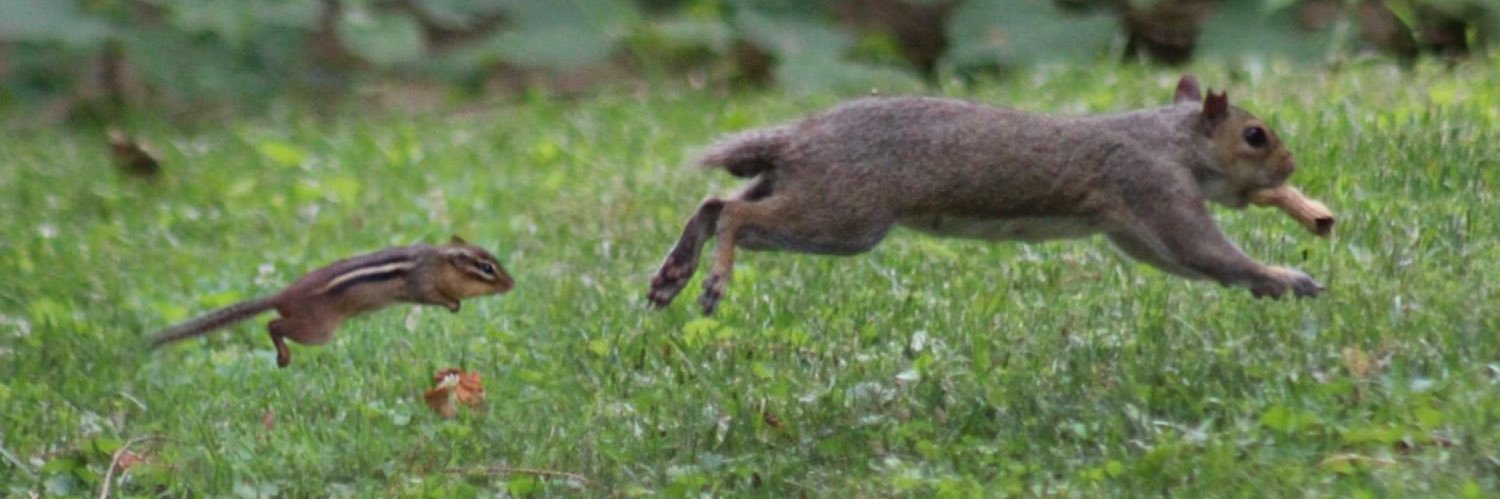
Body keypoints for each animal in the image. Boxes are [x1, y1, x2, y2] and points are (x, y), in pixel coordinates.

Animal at [149, 236, 513, 367]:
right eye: (487, 269)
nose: (512, 284)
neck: (436, 261)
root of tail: (281, 294)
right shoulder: (420, 285)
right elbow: (433, 298)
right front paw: (454, 305)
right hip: (317, 330)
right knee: (273, 323)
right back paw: (283, 355)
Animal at [649, 75, 1323, 315]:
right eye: (1256, 137)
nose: (1292, 163)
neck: (1167, 139)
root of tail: (800, 136)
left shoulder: (1133, 227)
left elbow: (1195, 264)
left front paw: (1272, 287)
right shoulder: (1151, 186)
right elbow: (1207, 251)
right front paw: (1284, 276)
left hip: (805, 189)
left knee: (713, 206)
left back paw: (674, 272)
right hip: (843, 215)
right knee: (737, 214)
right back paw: (712, 280)